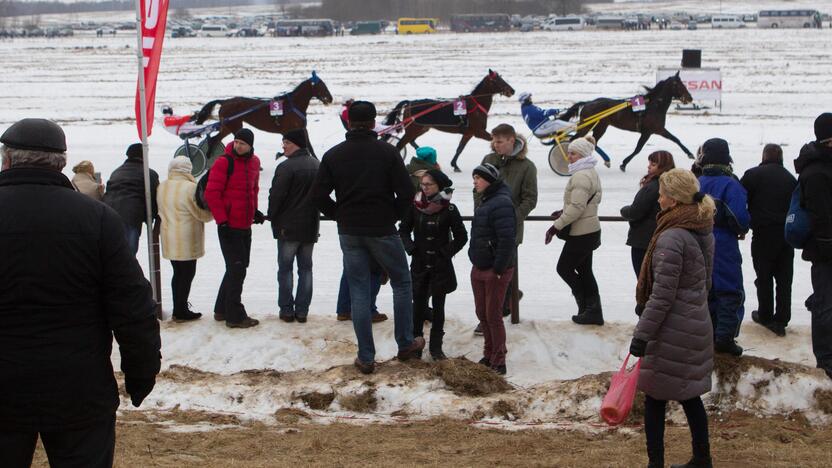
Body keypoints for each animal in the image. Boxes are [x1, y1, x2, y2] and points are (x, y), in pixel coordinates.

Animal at [195, 71, 334, 147]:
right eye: (321, 85)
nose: (330, 98)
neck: (293, 105)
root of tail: (225, 101)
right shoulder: (289, 130)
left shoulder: (302, 129)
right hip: (235, 125)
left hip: (228, 126)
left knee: (215, 140)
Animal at [384, 68, 512, 171]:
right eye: (497, 80)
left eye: (501, 78)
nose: (512, 90)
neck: (476, 105)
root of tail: (409, 103)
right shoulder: (477, 132)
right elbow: (492, 140)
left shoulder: (468, 133)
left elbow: (460, 148)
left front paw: (454, 165)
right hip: (413, 129)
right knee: (400, 144)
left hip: (421, 128)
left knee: (412, 142)